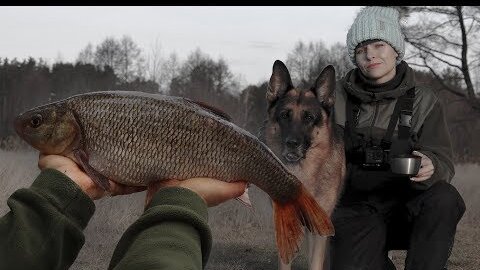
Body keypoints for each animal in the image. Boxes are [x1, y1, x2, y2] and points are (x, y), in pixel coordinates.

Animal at [266, 60, 344, 270]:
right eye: (285, 115)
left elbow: (315, 263)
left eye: (309, 118)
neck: (303, 173)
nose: (292, 143)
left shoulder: (320, 228)